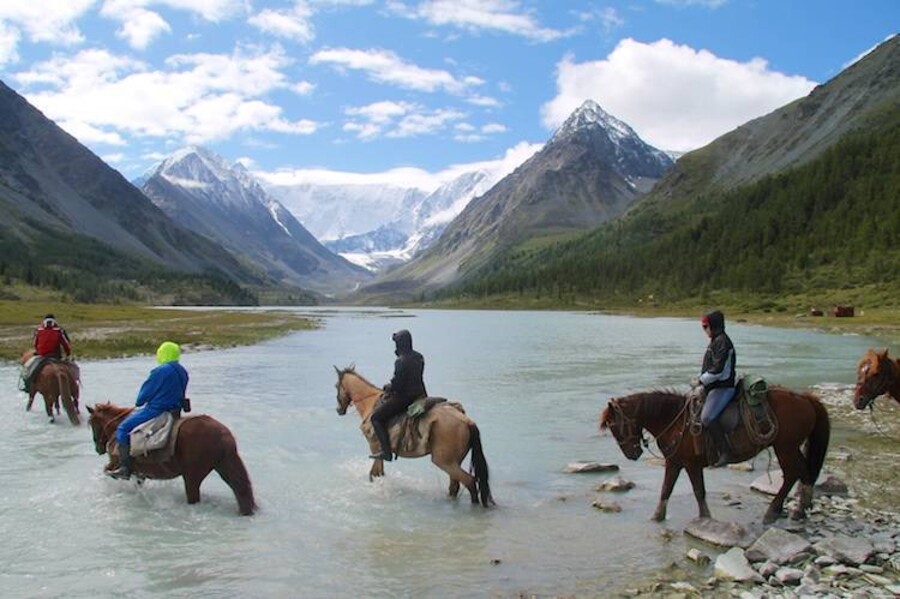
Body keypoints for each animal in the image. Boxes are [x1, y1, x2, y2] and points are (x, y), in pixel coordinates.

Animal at [87, 400, 256, 516]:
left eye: (93, 423)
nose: (98, 448)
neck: (117, 428)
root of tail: (223, 434)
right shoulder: (139, 473)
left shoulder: (115, 464)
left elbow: (108, 471)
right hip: (224, 466)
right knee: (240, 490)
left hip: (192, 477)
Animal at [334, 366, 496, 506]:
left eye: (336, 386)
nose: (338, 410)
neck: (370, 402)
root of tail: (467, 421)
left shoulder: (375, 450)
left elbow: (374, 475)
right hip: (454, 462)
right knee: (455, 486)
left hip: (444, 462)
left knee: (469, 482)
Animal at [600, 390, 832, 524]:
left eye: (614, 426)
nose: (632, 454)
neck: (676, 422)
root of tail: (807, 399)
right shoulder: (674, 462)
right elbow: (666, 489)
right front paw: (657, 516)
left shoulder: (691, 464)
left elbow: (698, 491)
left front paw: (705, 518)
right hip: (790, 448)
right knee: (803, 471)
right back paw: (799, 509)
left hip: (785, 448)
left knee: (794, 473)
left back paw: (775, 511)